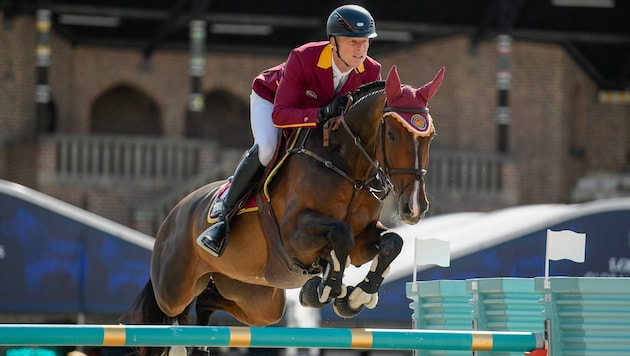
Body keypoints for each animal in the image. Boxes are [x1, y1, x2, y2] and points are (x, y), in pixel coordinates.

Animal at [124, 65, 444, 354]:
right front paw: (325, 290)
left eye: (430, 138)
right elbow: (341, 234)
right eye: (392, 136)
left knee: (207, 301)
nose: (414, 208)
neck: (347, 169)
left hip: (258, 299)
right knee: (168, 317)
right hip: (174, 290)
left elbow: (392, 242)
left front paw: (355, 297)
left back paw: (202, 343)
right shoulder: (294, 236)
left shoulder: (363, 241)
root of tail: (174, 214)